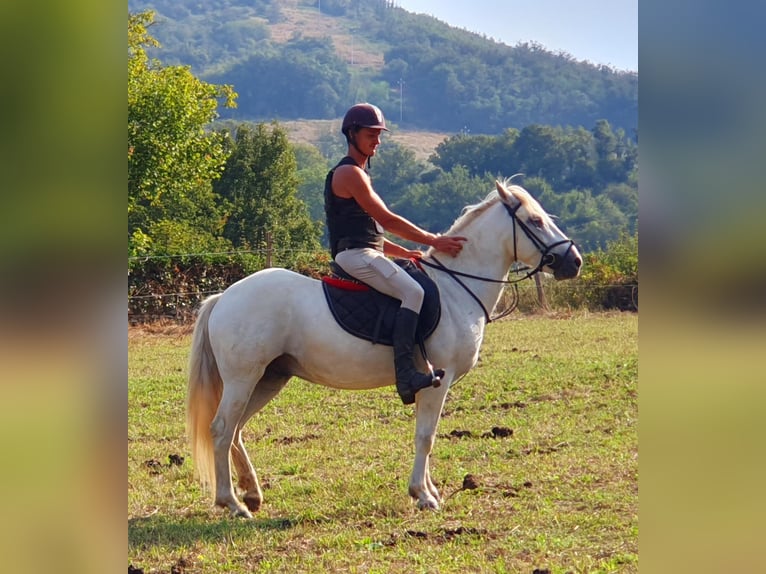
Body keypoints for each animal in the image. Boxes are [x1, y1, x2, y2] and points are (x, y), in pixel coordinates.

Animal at [186, 179, 584, 516]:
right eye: (535, 221)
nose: (574, 262)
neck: (456, 287)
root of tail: (224, 297)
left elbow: (425, 436)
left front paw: (429, 490)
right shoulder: (438, 380)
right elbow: (426, 436)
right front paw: (424, 496)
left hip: (269, 378)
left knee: (236, 431)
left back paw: (251, 494)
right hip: (243, 378)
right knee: (221, 429)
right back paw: (232, 503)